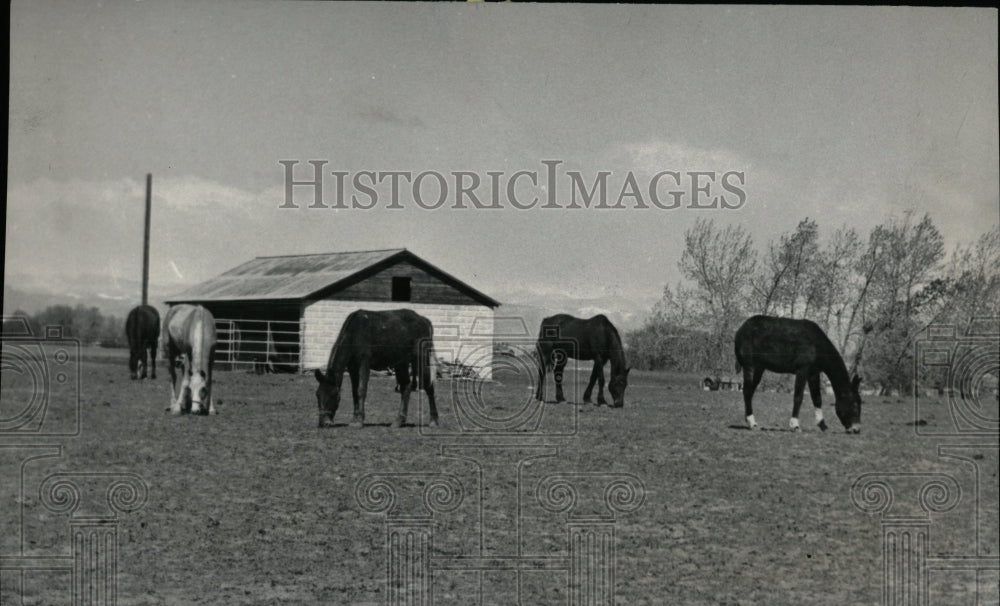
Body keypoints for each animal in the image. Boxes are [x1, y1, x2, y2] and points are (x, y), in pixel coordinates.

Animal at [732, 316, 864, 434]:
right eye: (854, 405)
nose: (856, 429)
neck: (816, 344)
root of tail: (741, 329)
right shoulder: (802, 371)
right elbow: (798, 397)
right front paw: (795, 425)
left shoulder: (813, 373)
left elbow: (817, 398)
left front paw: (822, 425)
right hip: (750, 366)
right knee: (747, 391)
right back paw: (752, 423)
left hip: (759, 368)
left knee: (750, 391)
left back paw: (749, 420)